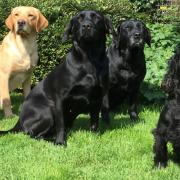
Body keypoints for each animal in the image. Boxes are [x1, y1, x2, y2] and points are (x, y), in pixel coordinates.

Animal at [0, 9, 112, 146]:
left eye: (97, 18)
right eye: (79, 19)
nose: (86, 26)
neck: (89, 60)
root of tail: (19, 122)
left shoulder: (97, 98)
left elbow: (95, 122)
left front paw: (94, 138)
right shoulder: (59, 99)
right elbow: (61, 124)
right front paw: (60, 142)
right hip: (47, 110)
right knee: (33, 134)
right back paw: (52, 140)